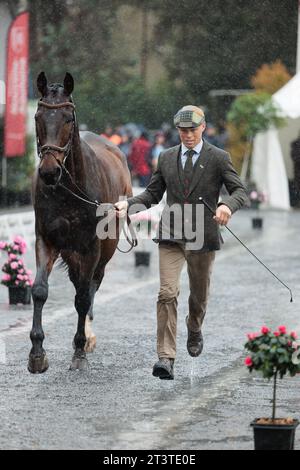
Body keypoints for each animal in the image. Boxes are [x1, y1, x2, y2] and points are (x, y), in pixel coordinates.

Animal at [29, 72, 132, 374]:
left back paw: (86, 337)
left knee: (91, 286)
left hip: (105, 249)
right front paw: (37, 353)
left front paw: (79, 349)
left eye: (67, 118)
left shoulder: (91, 247)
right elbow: (40, 291)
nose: (49, 171)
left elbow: (84, 298)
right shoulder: (46, 239)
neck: (68, 188)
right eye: (38, 116)